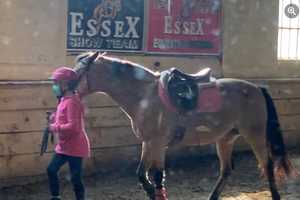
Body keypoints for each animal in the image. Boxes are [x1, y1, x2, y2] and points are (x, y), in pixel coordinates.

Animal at [73, 52, 298, 200]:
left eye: (78, 72)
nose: (66, 89)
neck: (144, 94)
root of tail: (257, 89)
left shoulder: (158, 144)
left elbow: (157, 177)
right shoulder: (148, 143)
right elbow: (142, 175)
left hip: (255, 135)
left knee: (267, 166)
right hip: (225, 138)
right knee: (226, 170)